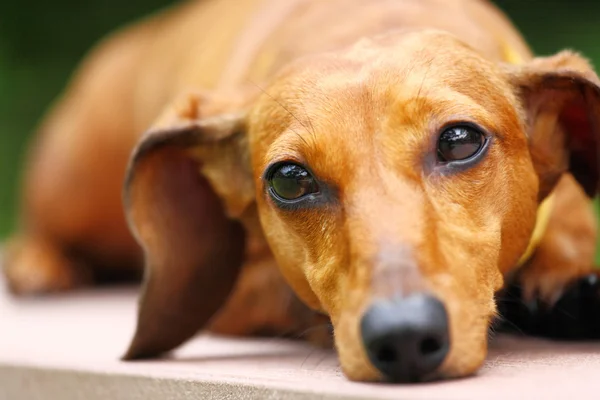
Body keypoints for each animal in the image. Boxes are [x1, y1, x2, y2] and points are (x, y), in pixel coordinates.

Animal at [3, 0, 600, 382]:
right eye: (289, 179)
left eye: (460, 141)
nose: (405, 338)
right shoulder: (240, 290)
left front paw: (569, 275)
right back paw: (37, 265)